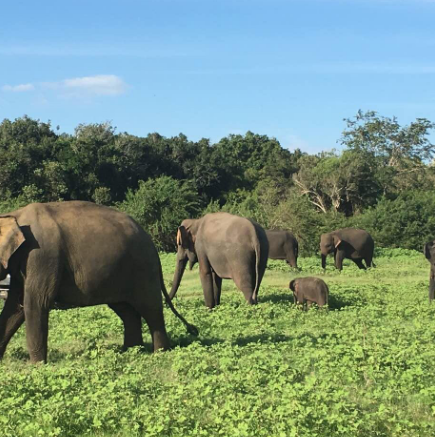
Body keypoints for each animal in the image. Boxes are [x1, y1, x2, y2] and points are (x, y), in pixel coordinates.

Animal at [0, 201, 198, 362]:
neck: (14, 216)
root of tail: (151, 243)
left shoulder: (41, 255)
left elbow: (36, 302)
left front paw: (38, 366)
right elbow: (15, 306)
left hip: (142, 268)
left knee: (150, 308)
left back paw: (159, 353)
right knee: (126, 311)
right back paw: (131, 351)